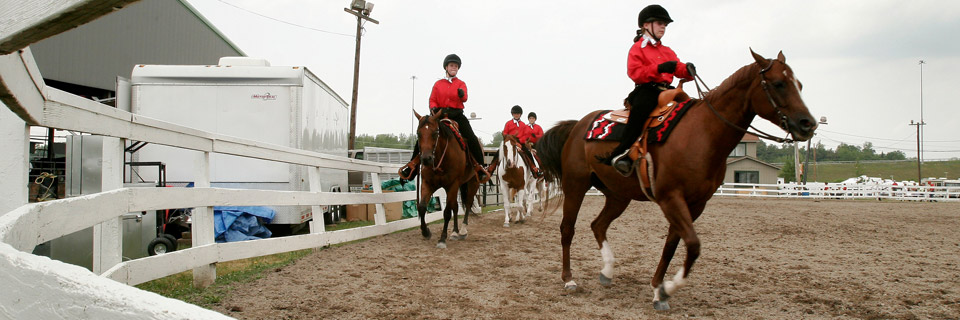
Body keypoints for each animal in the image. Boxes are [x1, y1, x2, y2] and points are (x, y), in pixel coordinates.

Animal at [414, 109, 484, 248]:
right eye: (418, 133)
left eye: (435, 133)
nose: (426, 159)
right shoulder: (427, 183)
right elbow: (422, 207)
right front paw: (426, 232)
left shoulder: (452, 184)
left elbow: (446, 212)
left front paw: (442, 239)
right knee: (455, 206)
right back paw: (455, 232)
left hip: (473, 182)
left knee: (468, 204)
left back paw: (462, 231)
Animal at [536, 50, 812, 310]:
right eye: (778, 83)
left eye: (799, 84)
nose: (807, 124)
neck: (703, 133)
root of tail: (577, 126)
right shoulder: (671, 198)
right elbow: (693, 244)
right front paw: (667, 289)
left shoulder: (695, 204)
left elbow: (673, 245)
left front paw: (659, 290)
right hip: (576, 186)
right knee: (567, 229)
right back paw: (569, 279)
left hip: (618, 196)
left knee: (598, 225)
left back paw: (607, 272)